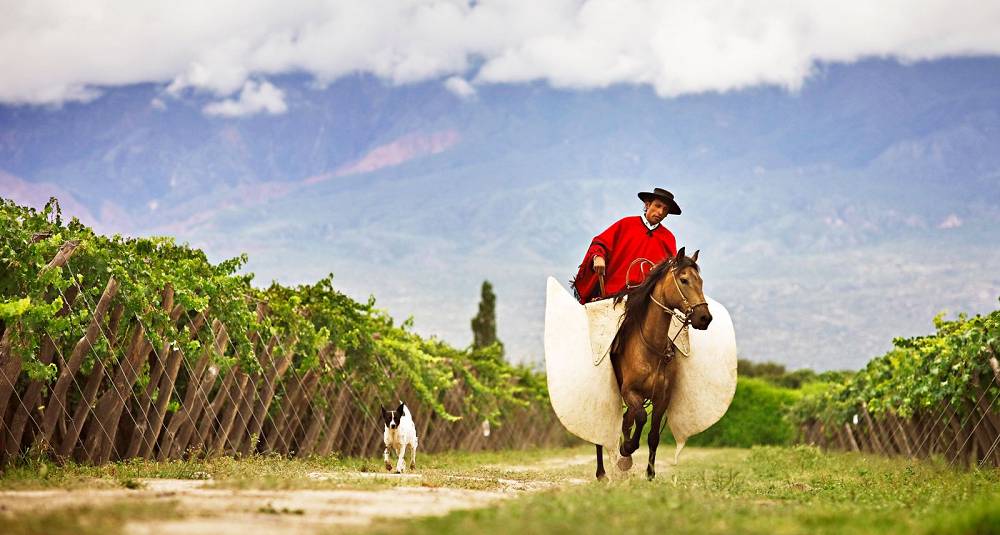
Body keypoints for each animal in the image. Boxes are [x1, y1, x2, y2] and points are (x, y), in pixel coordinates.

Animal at [592, 250, 712, 482]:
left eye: (701, 281)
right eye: (684, 280)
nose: (704, 318)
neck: (651, 347)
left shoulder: (662, 398)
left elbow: (653, 435)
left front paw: (650, 474)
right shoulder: (630, 392)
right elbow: (640, 417)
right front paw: (627, 449)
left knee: (627, 420)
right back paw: (602, 472)